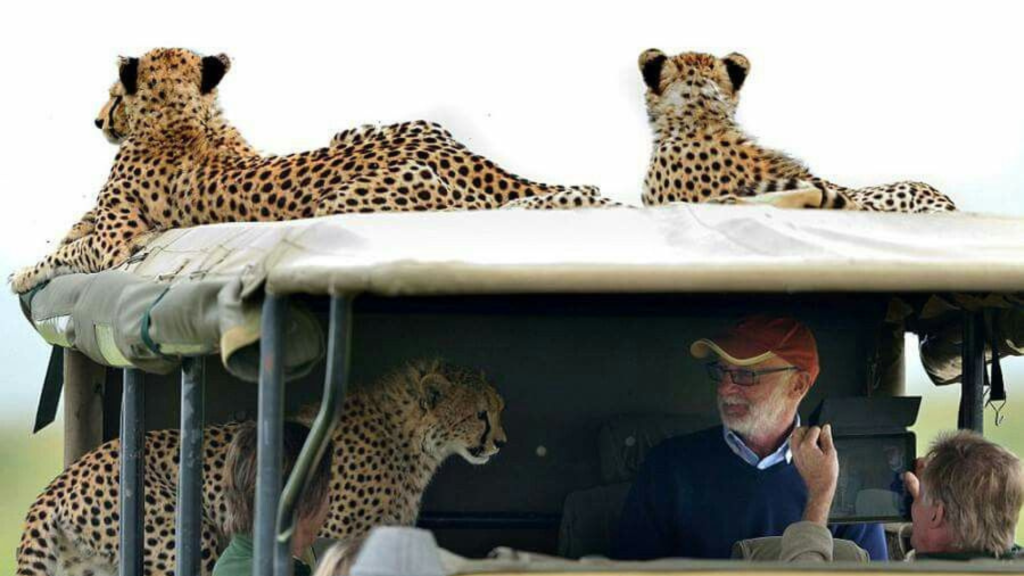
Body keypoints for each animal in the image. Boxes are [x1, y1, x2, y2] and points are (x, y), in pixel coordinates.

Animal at [10, 47, 602, 294]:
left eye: (114, 95)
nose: (97, 120)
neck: (183, 115)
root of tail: (451, 149)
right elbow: (74, 230)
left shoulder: (117, 242)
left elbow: (68, 252)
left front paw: (22, 273)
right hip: (364, 129)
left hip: (346, 200)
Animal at [16, 359, 507, 576]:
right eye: (481, 414)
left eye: (498, 409)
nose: (500, 443)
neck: (407, 435)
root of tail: (58, 483)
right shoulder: (330, 530)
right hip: (183, 536)